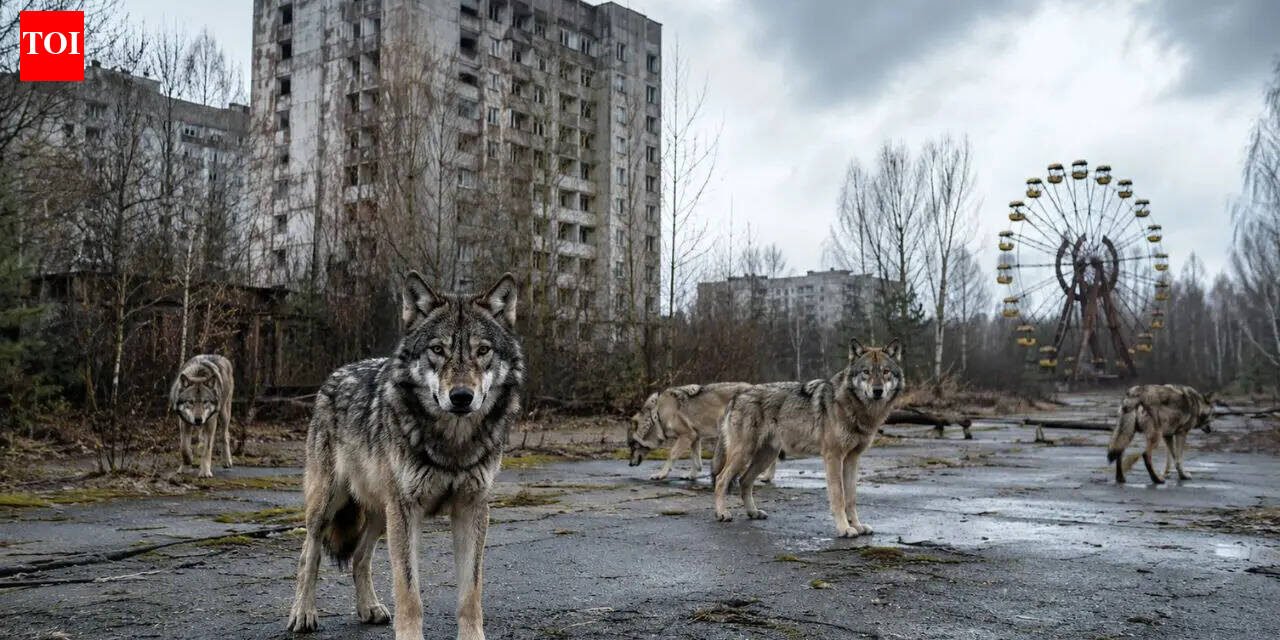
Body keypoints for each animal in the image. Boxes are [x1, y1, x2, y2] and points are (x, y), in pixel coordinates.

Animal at [286, 272, 522, 640]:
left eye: (482, 351)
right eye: (437, 350)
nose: (461, 396)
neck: (452, 443)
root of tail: (335, 375)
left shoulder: (472, 509)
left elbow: (471, 592)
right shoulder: (406, 510)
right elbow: (408, 592)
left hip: (381, 512)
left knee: (360, 557)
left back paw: (369, 607)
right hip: (330, 503)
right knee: (308, 555)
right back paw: (303, 613)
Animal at [628, 382, 777, 481]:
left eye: (632, 446)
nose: (629, 464)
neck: (657, 415)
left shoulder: (687, 436)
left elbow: (672, 455)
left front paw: (661, 474)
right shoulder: (695, 437)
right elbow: (695, 459)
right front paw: (691, 475)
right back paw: (766, 477)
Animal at [712, 339, 903, 537]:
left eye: (885, 371)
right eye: (866, 372)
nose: (877, 391)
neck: (855, 408)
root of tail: (737, 396)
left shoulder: (852, 459)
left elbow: (851, 497)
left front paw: (857, 526)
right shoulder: (833, 457)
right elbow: (839, 496)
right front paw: (844, 528)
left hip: (765, 457)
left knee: (744, 481)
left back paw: (753, 512)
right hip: (744, 454)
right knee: (721, 479)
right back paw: (722, 513)